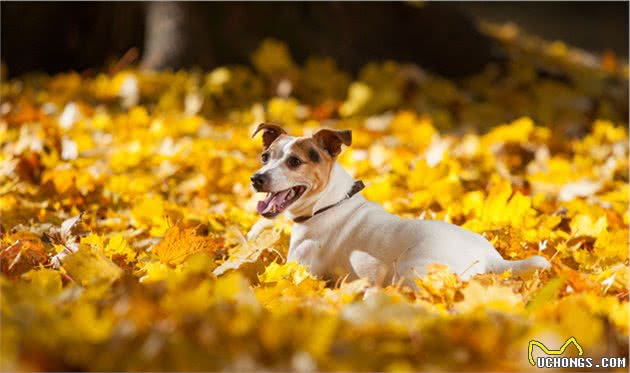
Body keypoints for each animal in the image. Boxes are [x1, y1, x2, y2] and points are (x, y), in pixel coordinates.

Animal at [249, 122, 552, 284]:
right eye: (265, 157)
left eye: (294, 161)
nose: (256, 179)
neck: (329, 202)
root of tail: (493, 259)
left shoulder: (300, 269)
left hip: (410, 269)